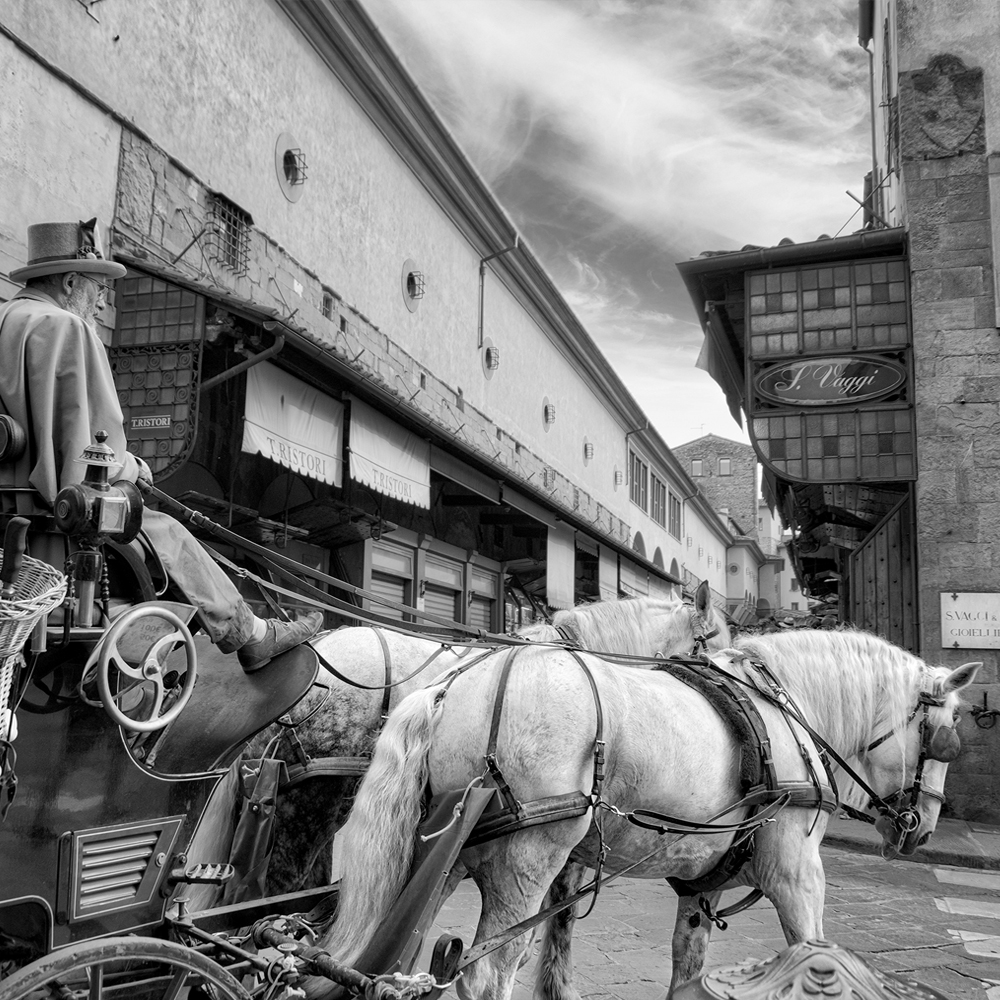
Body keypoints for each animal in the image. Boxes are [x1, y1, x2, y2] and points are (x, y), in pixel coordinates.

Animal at [302, 628, 976, 996]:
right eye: (944, 736)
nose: (923, 829)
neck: (784, 711)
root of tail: (449, 688)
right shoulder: (797, 873)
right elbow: (814, 954)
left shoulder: (702, 884)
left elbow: (687, 970)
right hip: (528, 858)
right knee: (483, 976)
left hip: (440, 853)